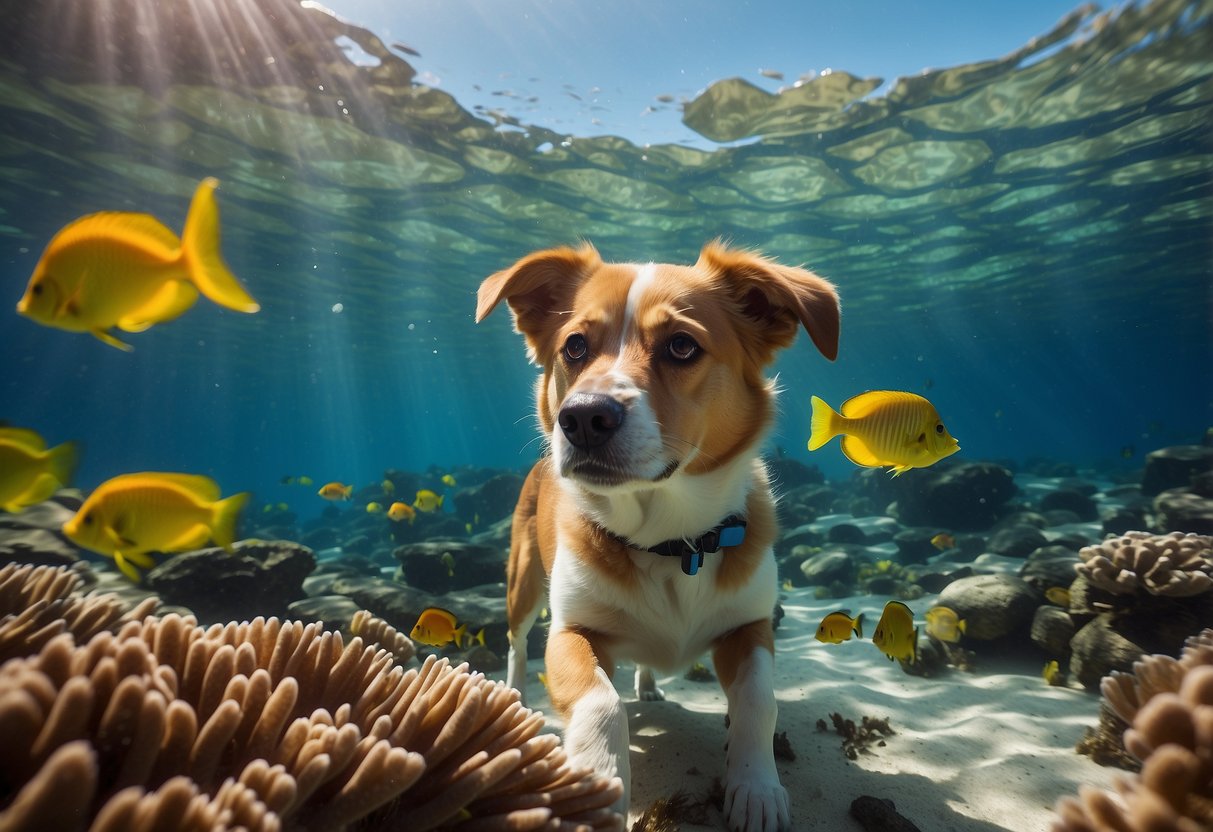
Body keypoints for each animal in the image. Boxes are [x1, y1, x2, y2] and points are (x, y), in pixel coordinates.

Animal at [477, 241, 839, 832]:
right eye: (574, 346)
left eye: (681, 346)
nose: (581, 418)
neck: (670, 541)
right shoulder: (571, 633)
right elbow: (600, 704)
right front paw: (597, 788)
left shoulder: (749, 627)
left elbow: (760, 699)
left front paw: (757, 787)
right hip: (523, 581)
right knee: (515, 641)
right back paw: (513, 692)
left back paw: (648, 684)